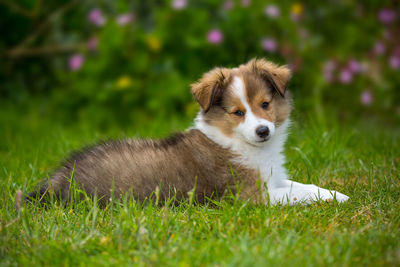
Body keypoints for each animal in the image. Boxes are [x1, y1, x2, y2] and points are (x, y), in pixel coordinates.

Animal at [27, 59, 346, 207]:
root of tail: (54, 181)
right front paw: (334, 198)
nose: (263, 130)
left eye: (265, 104)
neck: (240, 144)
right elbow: (294, 194)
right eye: (237, 112)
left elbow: (302, 185)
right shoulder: (251, 195)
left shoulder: (273, 178)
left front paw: (335, 193)